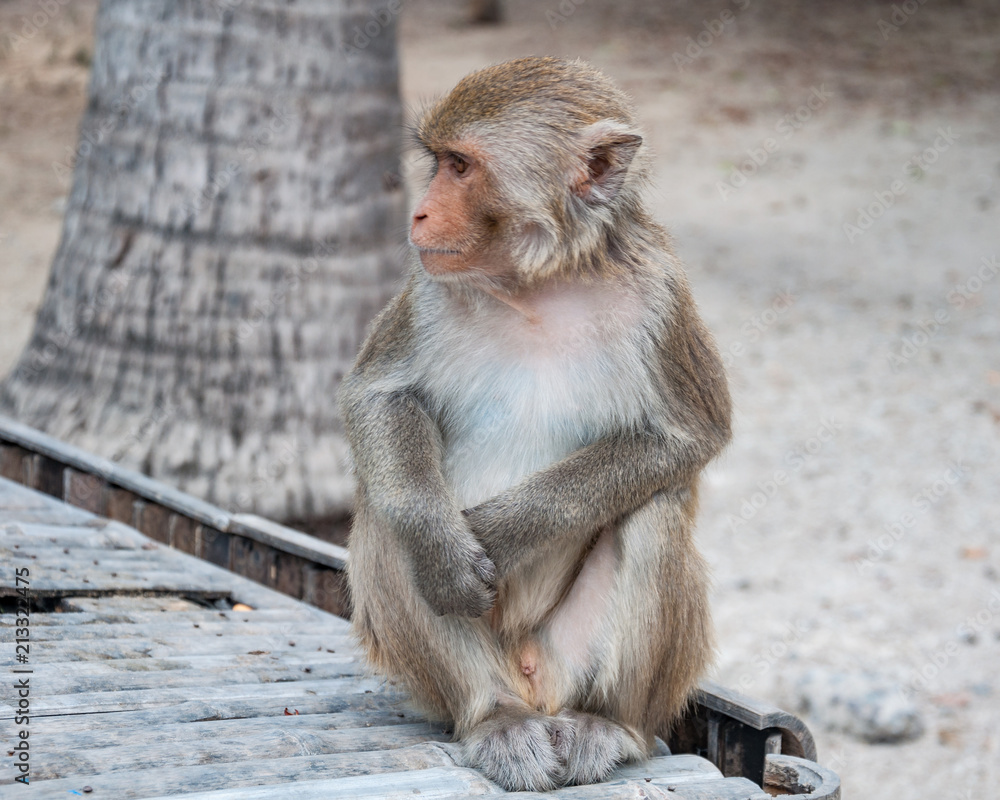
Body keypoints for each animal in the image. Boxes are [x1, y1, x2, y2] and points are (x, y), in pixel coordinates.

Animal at [340, 56, 731, 792]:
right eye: (439, 161)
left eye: (461, 166)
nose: (420, 212)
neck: (535, 285)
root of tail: (533, 681)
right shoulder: (425, 287)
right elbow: (379, 396)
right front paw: (442, 545)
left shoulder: (663, 296)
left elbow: (687, 437)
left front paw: (502, 530)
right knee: (385, 514)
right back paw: (494, 717)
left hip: (574, 659)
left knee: (655, 507)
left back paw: (607, 723)